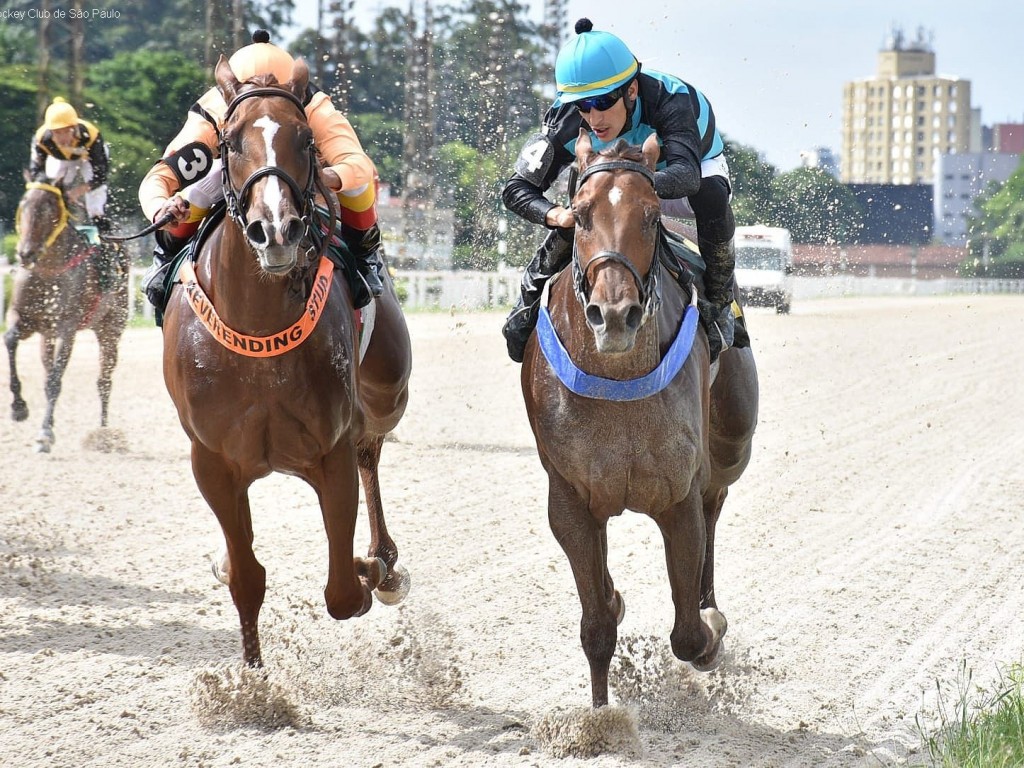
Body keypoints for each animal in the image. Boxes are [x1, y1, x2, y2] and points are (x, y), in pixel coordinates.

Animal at [4, 181, 129, 454]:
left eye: (50, 210)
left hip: (110, 329)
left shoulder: (67, 329)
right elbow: (9, 340)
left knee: (104, 381)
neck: (48, 269)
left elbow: (55, 381)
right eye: (23, 205)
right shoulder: (23, 318)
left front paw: (44, 434)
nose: (25, 253)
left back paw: (104, 434)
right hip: (46, 336)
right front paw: (18, 407)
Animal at [161, 55, 409, 667]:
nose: (275, 229)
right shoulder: (213, 461)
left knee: (371, 447)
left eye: (304, 140)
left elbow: (344, 592)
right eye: (228, 142)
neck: (258, 333)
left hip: (387, 390)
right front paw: (252, 678)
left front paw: (369, 570)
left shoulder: (329, 450)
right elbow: (247, 577)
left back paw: (385, 563)